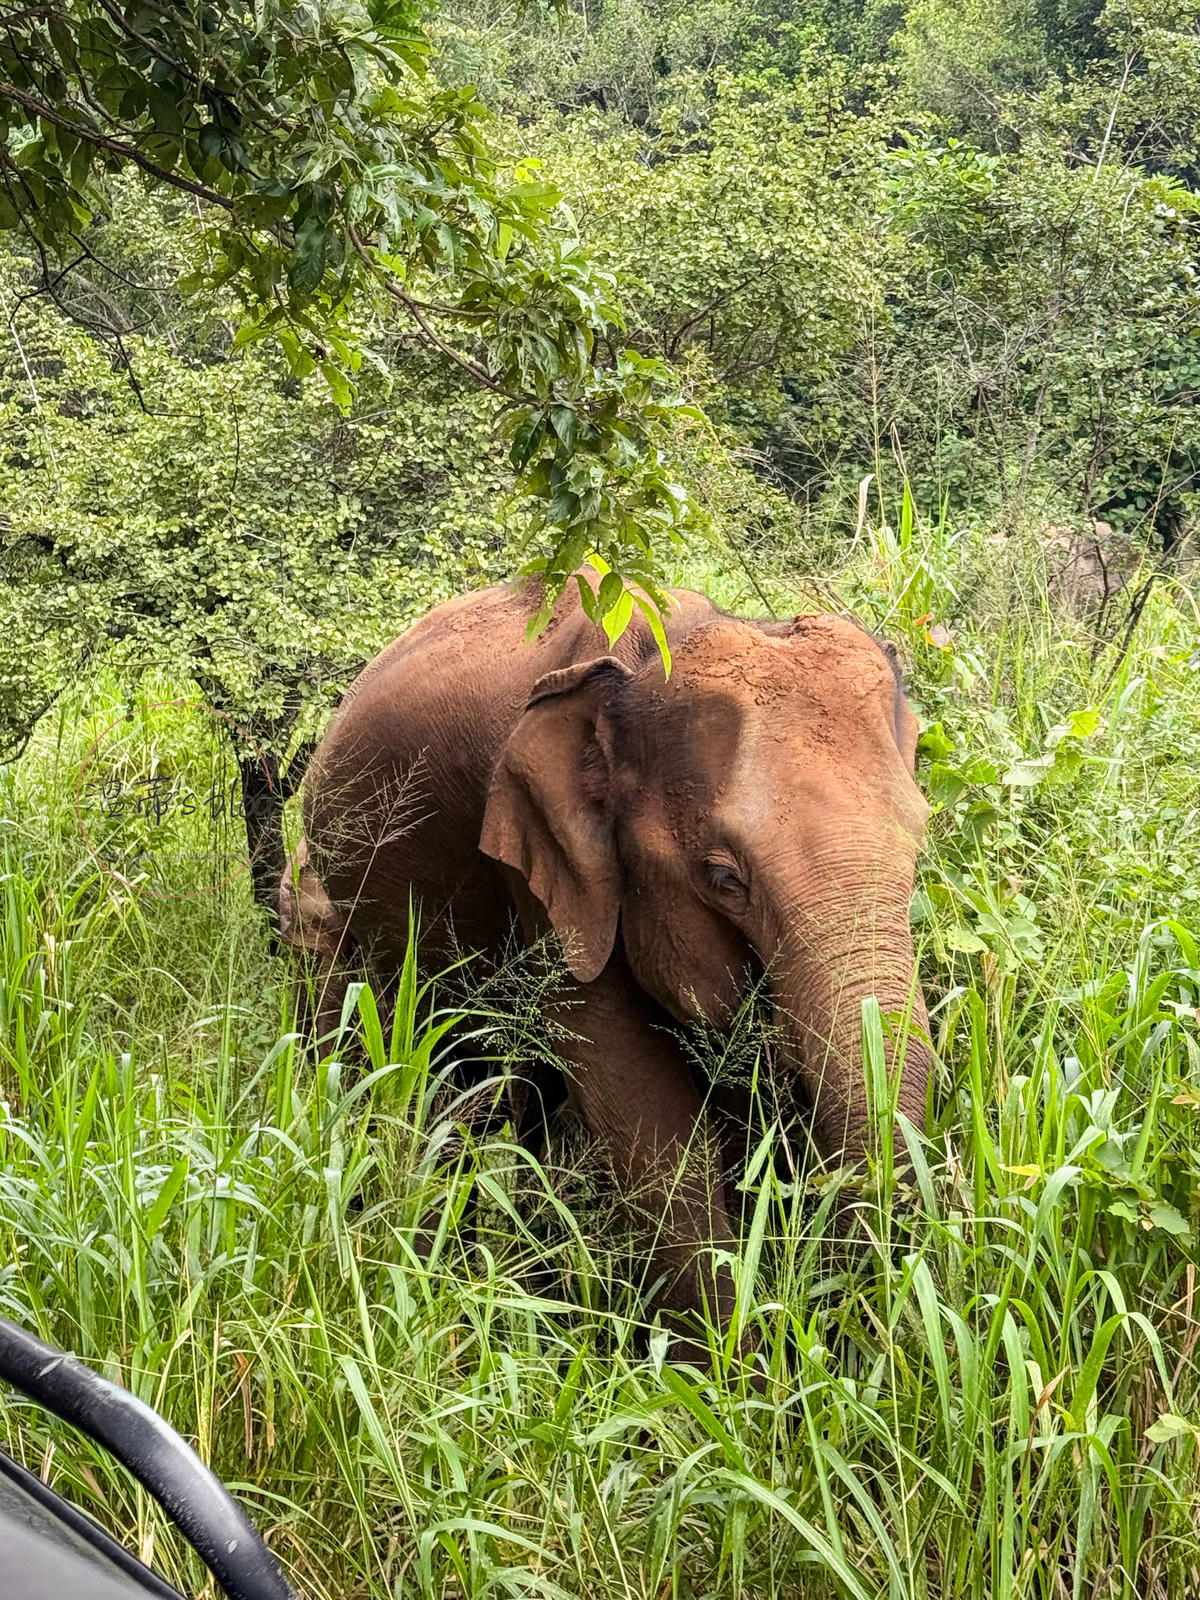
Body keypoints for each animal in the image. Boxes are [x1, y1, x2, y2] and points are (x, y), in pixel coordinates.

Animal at [279, 570, 932, 1354]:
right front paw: (719, 1371)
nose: (830, 1329)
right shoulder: (541, 881)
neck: (655, 651)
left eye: (921, 841)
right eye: (724, 878)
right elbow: (647, 1119)